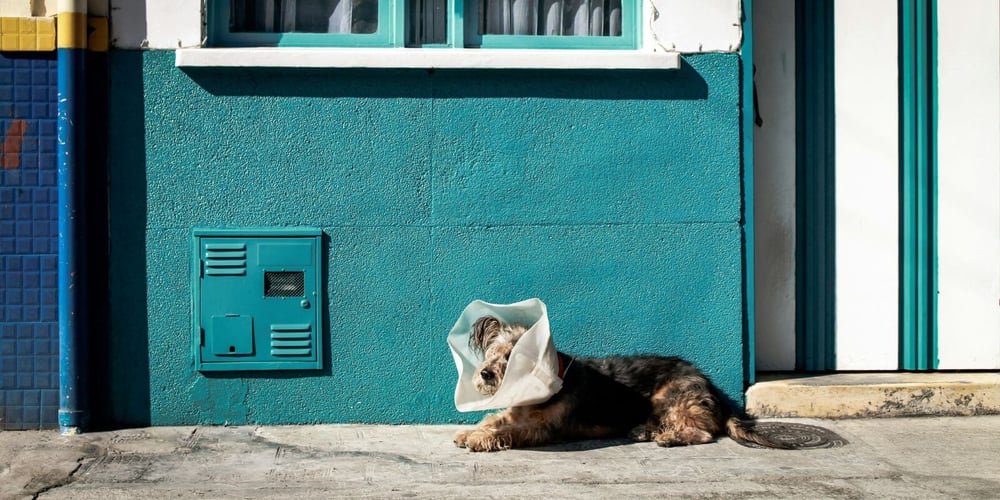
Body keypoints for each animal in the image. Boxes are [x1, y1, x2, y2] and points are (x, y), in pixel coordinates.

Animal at [454, 316, 788, 454]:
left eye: (513, 357)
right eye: (493, 352)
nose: (485, 373)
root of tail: (711, 386)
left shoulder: (543, 428)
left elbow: (509, 431)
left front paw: (479, 439)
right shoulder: (516, 413)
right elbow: (494, 419)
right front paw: (471, 432)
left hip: (669, 395)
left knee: (703, 432)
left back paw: (668, 437)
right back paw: (644, 431)